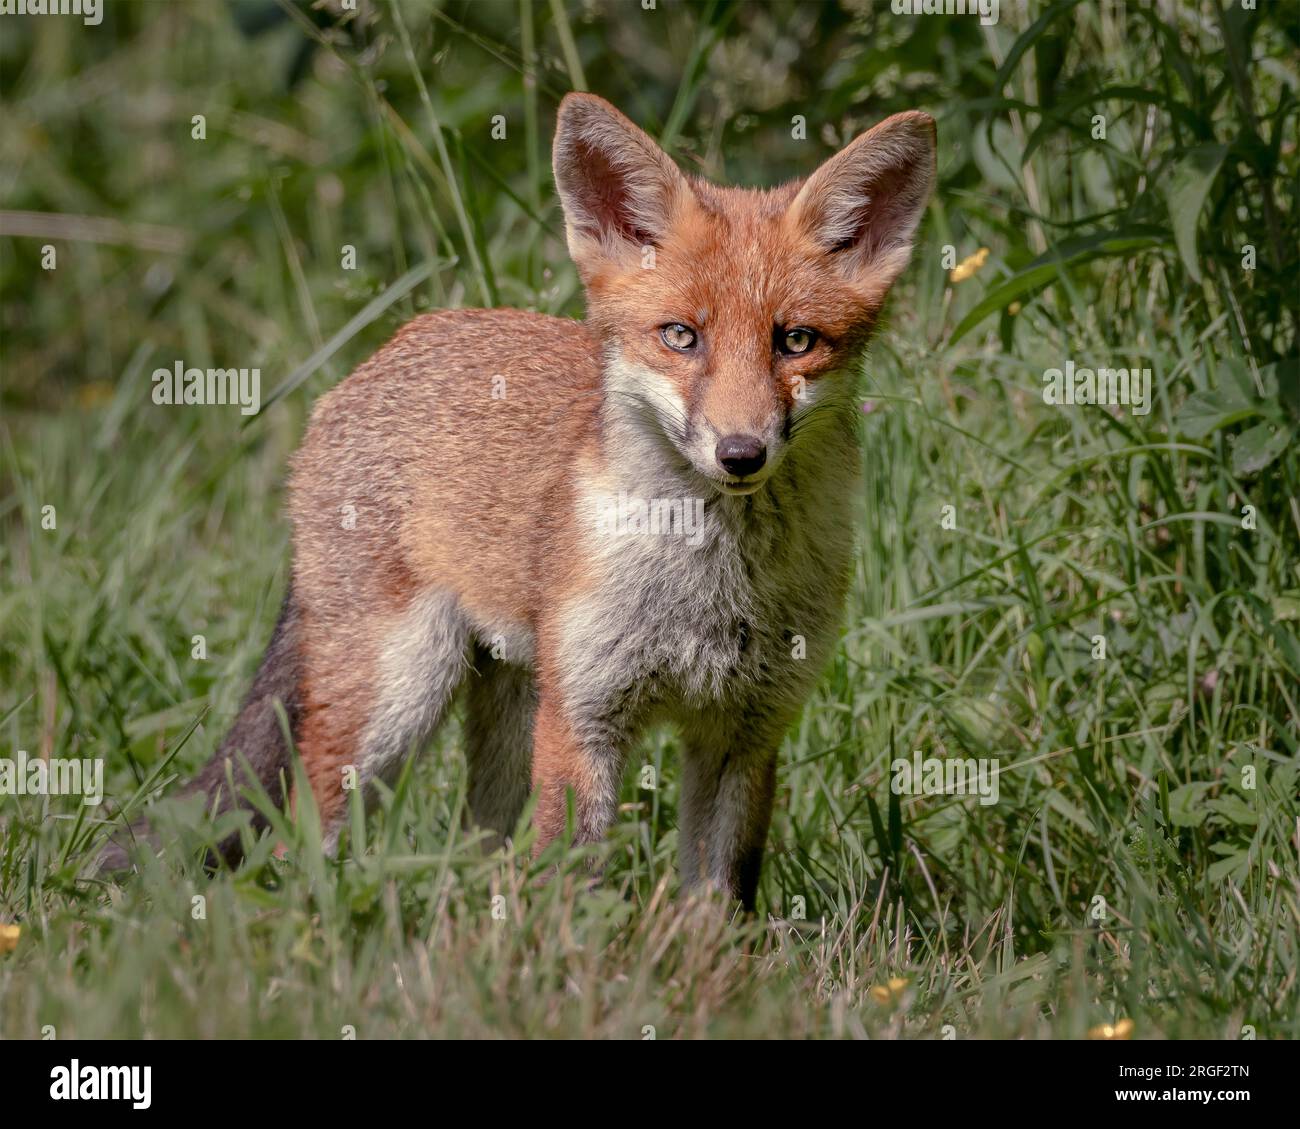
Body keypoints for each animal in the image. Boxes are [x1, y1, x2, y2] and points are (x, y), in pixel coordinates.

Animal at [101, 94, 935, 910]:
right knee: (298, 840)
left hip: (505, 713)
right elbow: (571, 889)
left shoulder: (746, 729)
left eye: (795, 342)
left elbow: (716, 901)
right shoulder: (584, 717)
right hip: (397, 701)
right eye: (680, 336)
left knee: (477, 847)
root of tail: (378, 356)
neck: (710, 589)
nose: (740, 453)